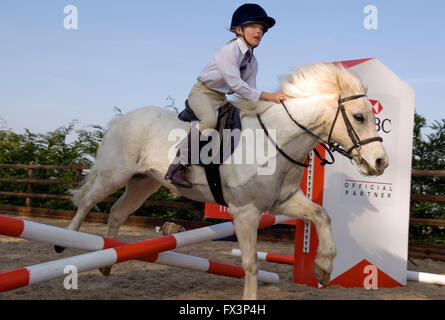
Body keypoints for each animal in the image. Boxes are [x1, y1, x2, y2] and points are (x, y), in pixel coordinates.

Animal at [62, 63, 386, 300]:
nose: (380, 163)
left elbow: (322, 215)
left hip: (144, 183)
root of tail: (122, 119)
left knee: (117, 212)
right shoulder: (245, 212)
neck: (276, 141)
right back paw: (66, 247)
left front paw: (323, 269)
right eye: (359, 117)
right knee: (88, 202)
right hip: (114, 174)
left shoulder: (282, 201)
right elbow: (250, 262)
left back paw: (106, 264)